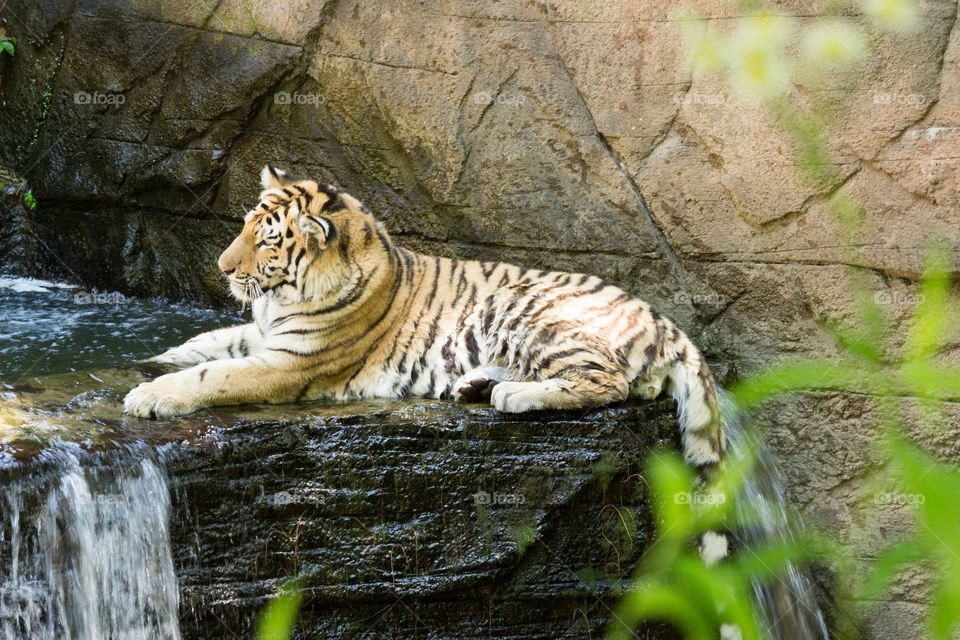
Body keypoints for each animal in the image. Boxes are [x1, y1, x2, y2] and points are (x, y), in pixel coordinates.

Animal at [123, 166, 725, 478]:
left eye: (268, 240)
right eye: (247, 225)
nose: (223, 267)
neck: (285, 298)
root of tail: (664, 321)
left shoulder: (289, 363)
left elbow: (217, 373)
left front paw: (150, 395)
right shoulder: (263, 333)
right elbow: (209, 342)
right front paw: (154, 359)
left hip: (522, 307)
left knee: (608, 382)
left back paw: (513, 395)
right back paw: (476, 384)